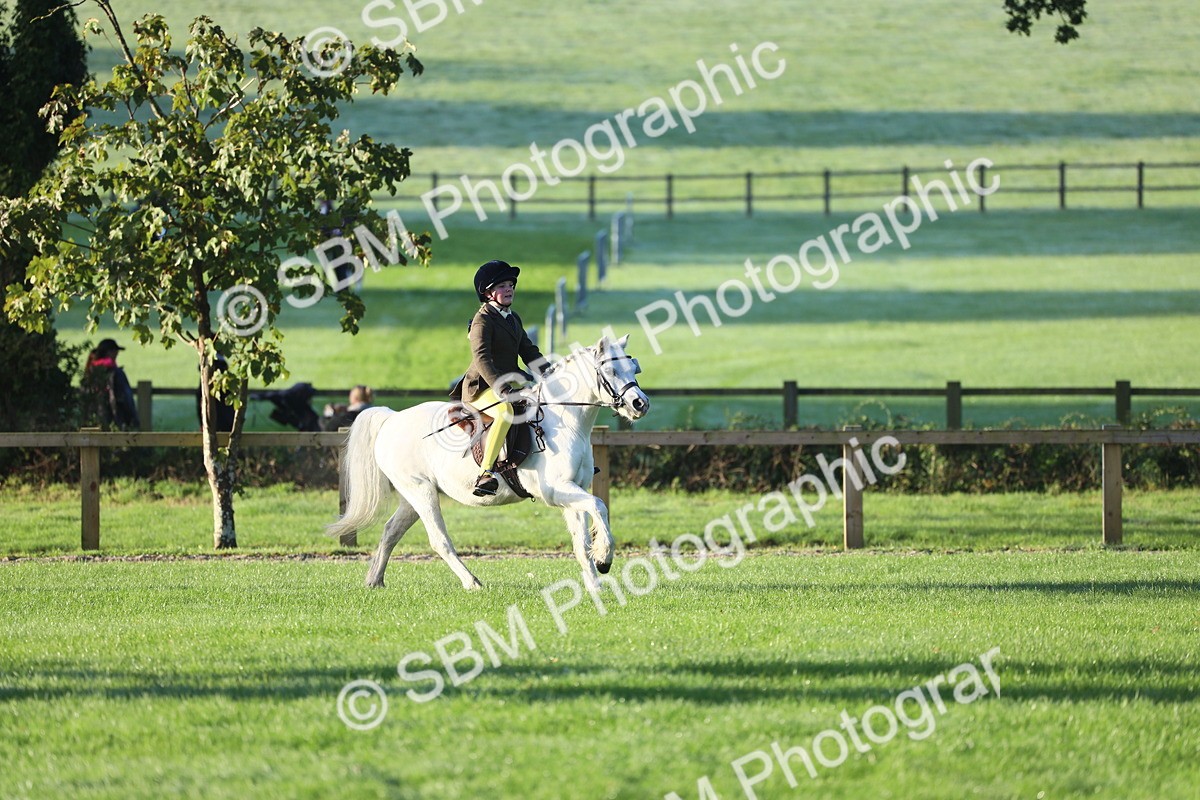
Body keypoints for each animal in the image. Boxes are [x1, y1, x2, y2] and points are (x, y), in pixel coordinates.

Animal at [326, 333, 650, 591]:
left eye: (634, 368)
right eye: (610, 369)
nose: (640, 404)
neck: (565, 419)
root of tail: (392, 419)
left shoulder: (574, 490)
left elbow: (581, 539)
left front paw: (595, 584)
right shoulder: (557, 490)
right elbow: (599, 506)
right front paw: (605, 558)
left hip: (413, 495)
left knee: (391, 531)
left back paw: (374, 580)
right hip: (420, 491)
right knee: (439, 540)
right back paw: (472, 583)